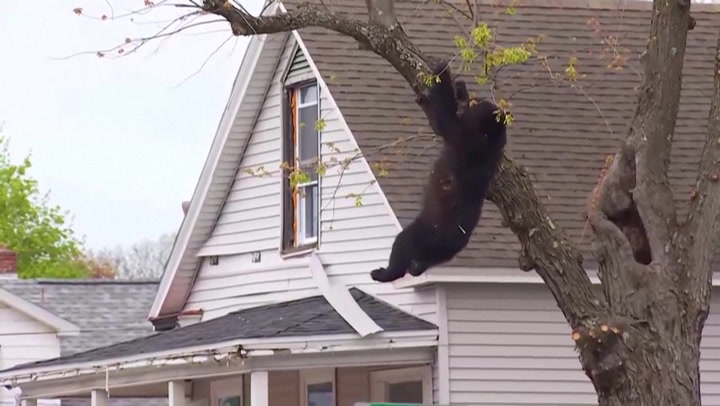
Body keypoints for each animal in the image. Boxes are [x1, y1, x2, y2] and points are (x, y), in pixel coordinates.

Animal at [370, 60, 508, 283]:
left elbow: (443, 120)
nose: (478, 99)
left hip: (426, 230)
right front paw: (459, 87)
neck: (488, 140)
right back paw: (415, 268)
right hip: (442, 250)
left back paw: (383, 273)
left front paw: (442, 71)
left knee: (402, 244)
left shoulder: (463, 138)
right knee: (425, 259)